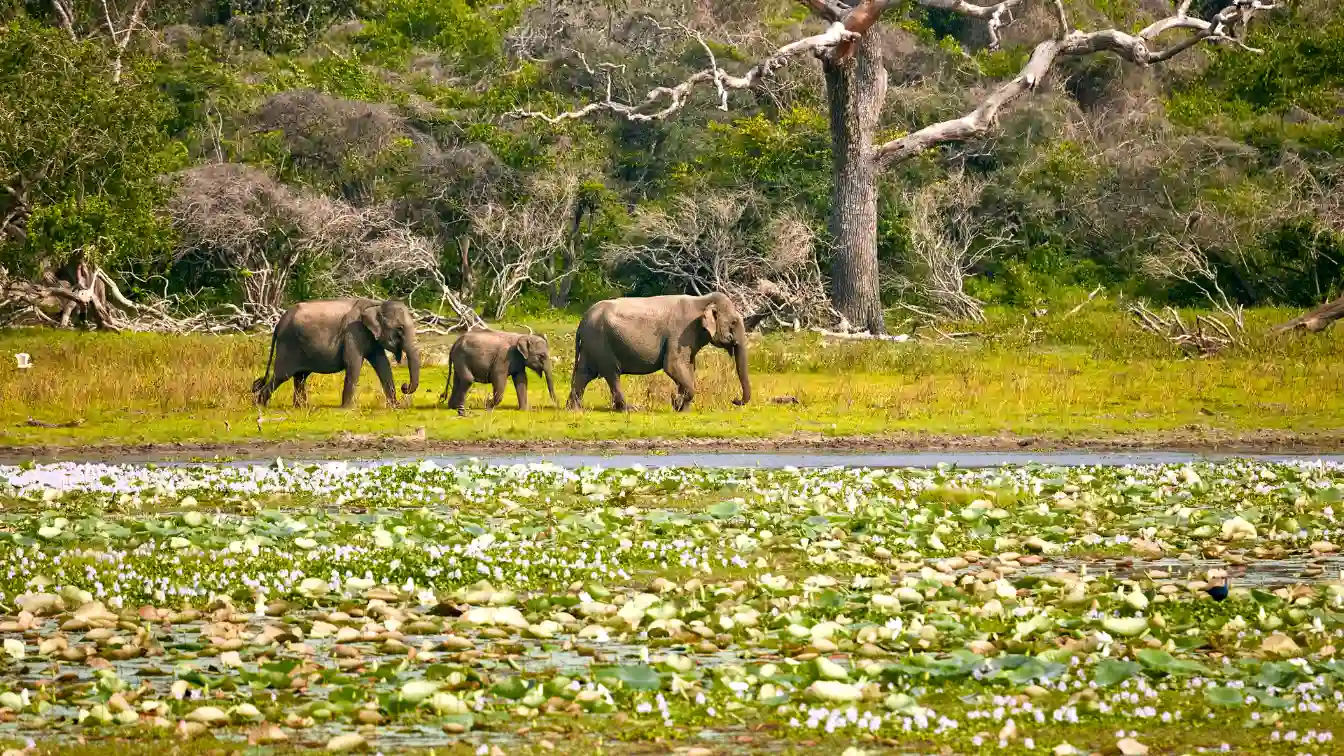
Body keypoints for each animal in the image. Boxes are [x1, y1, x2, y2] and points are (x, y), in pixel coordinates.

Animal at [252, 298, 421, 409]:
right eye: (400, 329)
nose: (405, 386)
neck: (376, 305)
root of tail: (279, 323)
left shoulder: (371, 336)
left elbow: (382, 364)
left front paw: (395, 406)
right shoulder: (353, 332)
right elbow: (353, 364)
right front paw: (348, 409)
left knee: (300, 376)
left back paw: (301, 407)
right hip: (288, 344)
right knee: (283, 375)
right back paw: (260, 405)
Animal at [568, 292, 752, 412]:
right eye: (734, 322)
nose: (735, 400)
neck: (702, 300)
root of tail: (582, 321)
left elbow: (689, 367)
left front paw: (682, 409)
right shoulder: (680, 333)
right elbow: (672, 365)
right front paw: (677, 403)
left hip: (592, 344)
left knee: (584, 373)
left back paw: (574, 409)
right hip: (601, 342)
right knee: (612, 373)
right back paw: (629, 409)